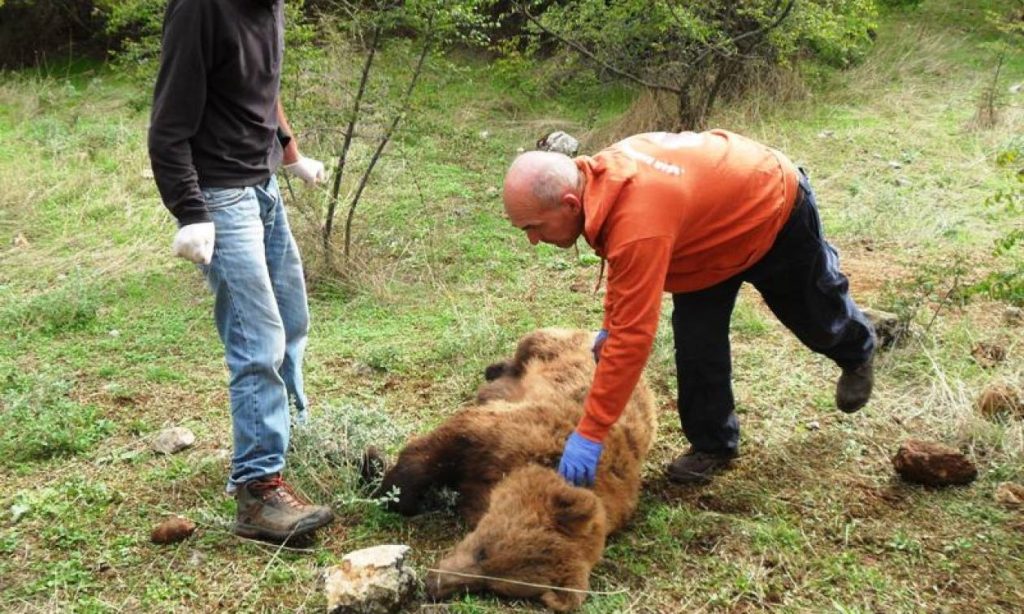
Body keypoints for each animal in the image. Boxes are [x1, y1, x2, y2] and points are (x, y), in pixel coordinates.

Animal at [376, 329, 655, 605]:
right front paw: (391, 492)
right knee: (528, 347)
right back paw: (495, 368)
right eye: (483, 552)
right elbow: (438, 448)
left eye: (493, 587)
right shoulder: (510, 433)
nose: (435, 584)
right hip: (555, 346)